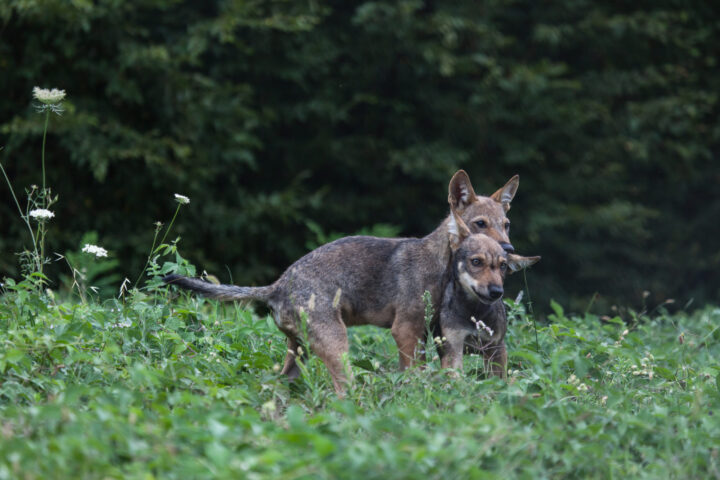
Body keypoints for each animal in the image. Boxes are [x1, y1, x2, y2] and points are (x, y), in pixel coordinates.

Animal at [165, 170, 524, 394]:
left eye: (506, 225)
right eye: (480, 224)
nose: (508, 252)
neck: (442, 264)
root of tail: (276, 286)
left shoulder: (429, 336)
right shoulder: (406, 332)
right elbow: (414, 377)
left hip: (300, 355)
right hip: (338, 349)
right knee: (344, 394)